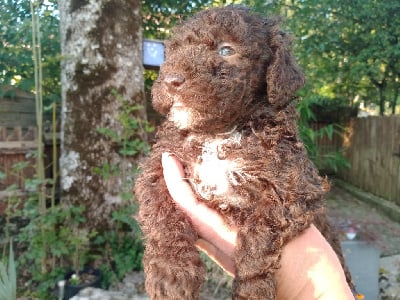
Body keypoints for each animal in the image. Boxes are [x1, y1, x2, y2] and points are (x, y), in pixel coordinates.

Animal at [135, 5, 354, 298]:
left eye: (226, 50)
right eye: (174, 51)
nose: (171, 81)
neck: (219, 133)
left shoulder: (291, 189)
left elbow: (258, 239)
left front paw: (252, 289)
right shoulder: (159, 165)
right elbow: (162, 214)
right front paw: (171, 273)